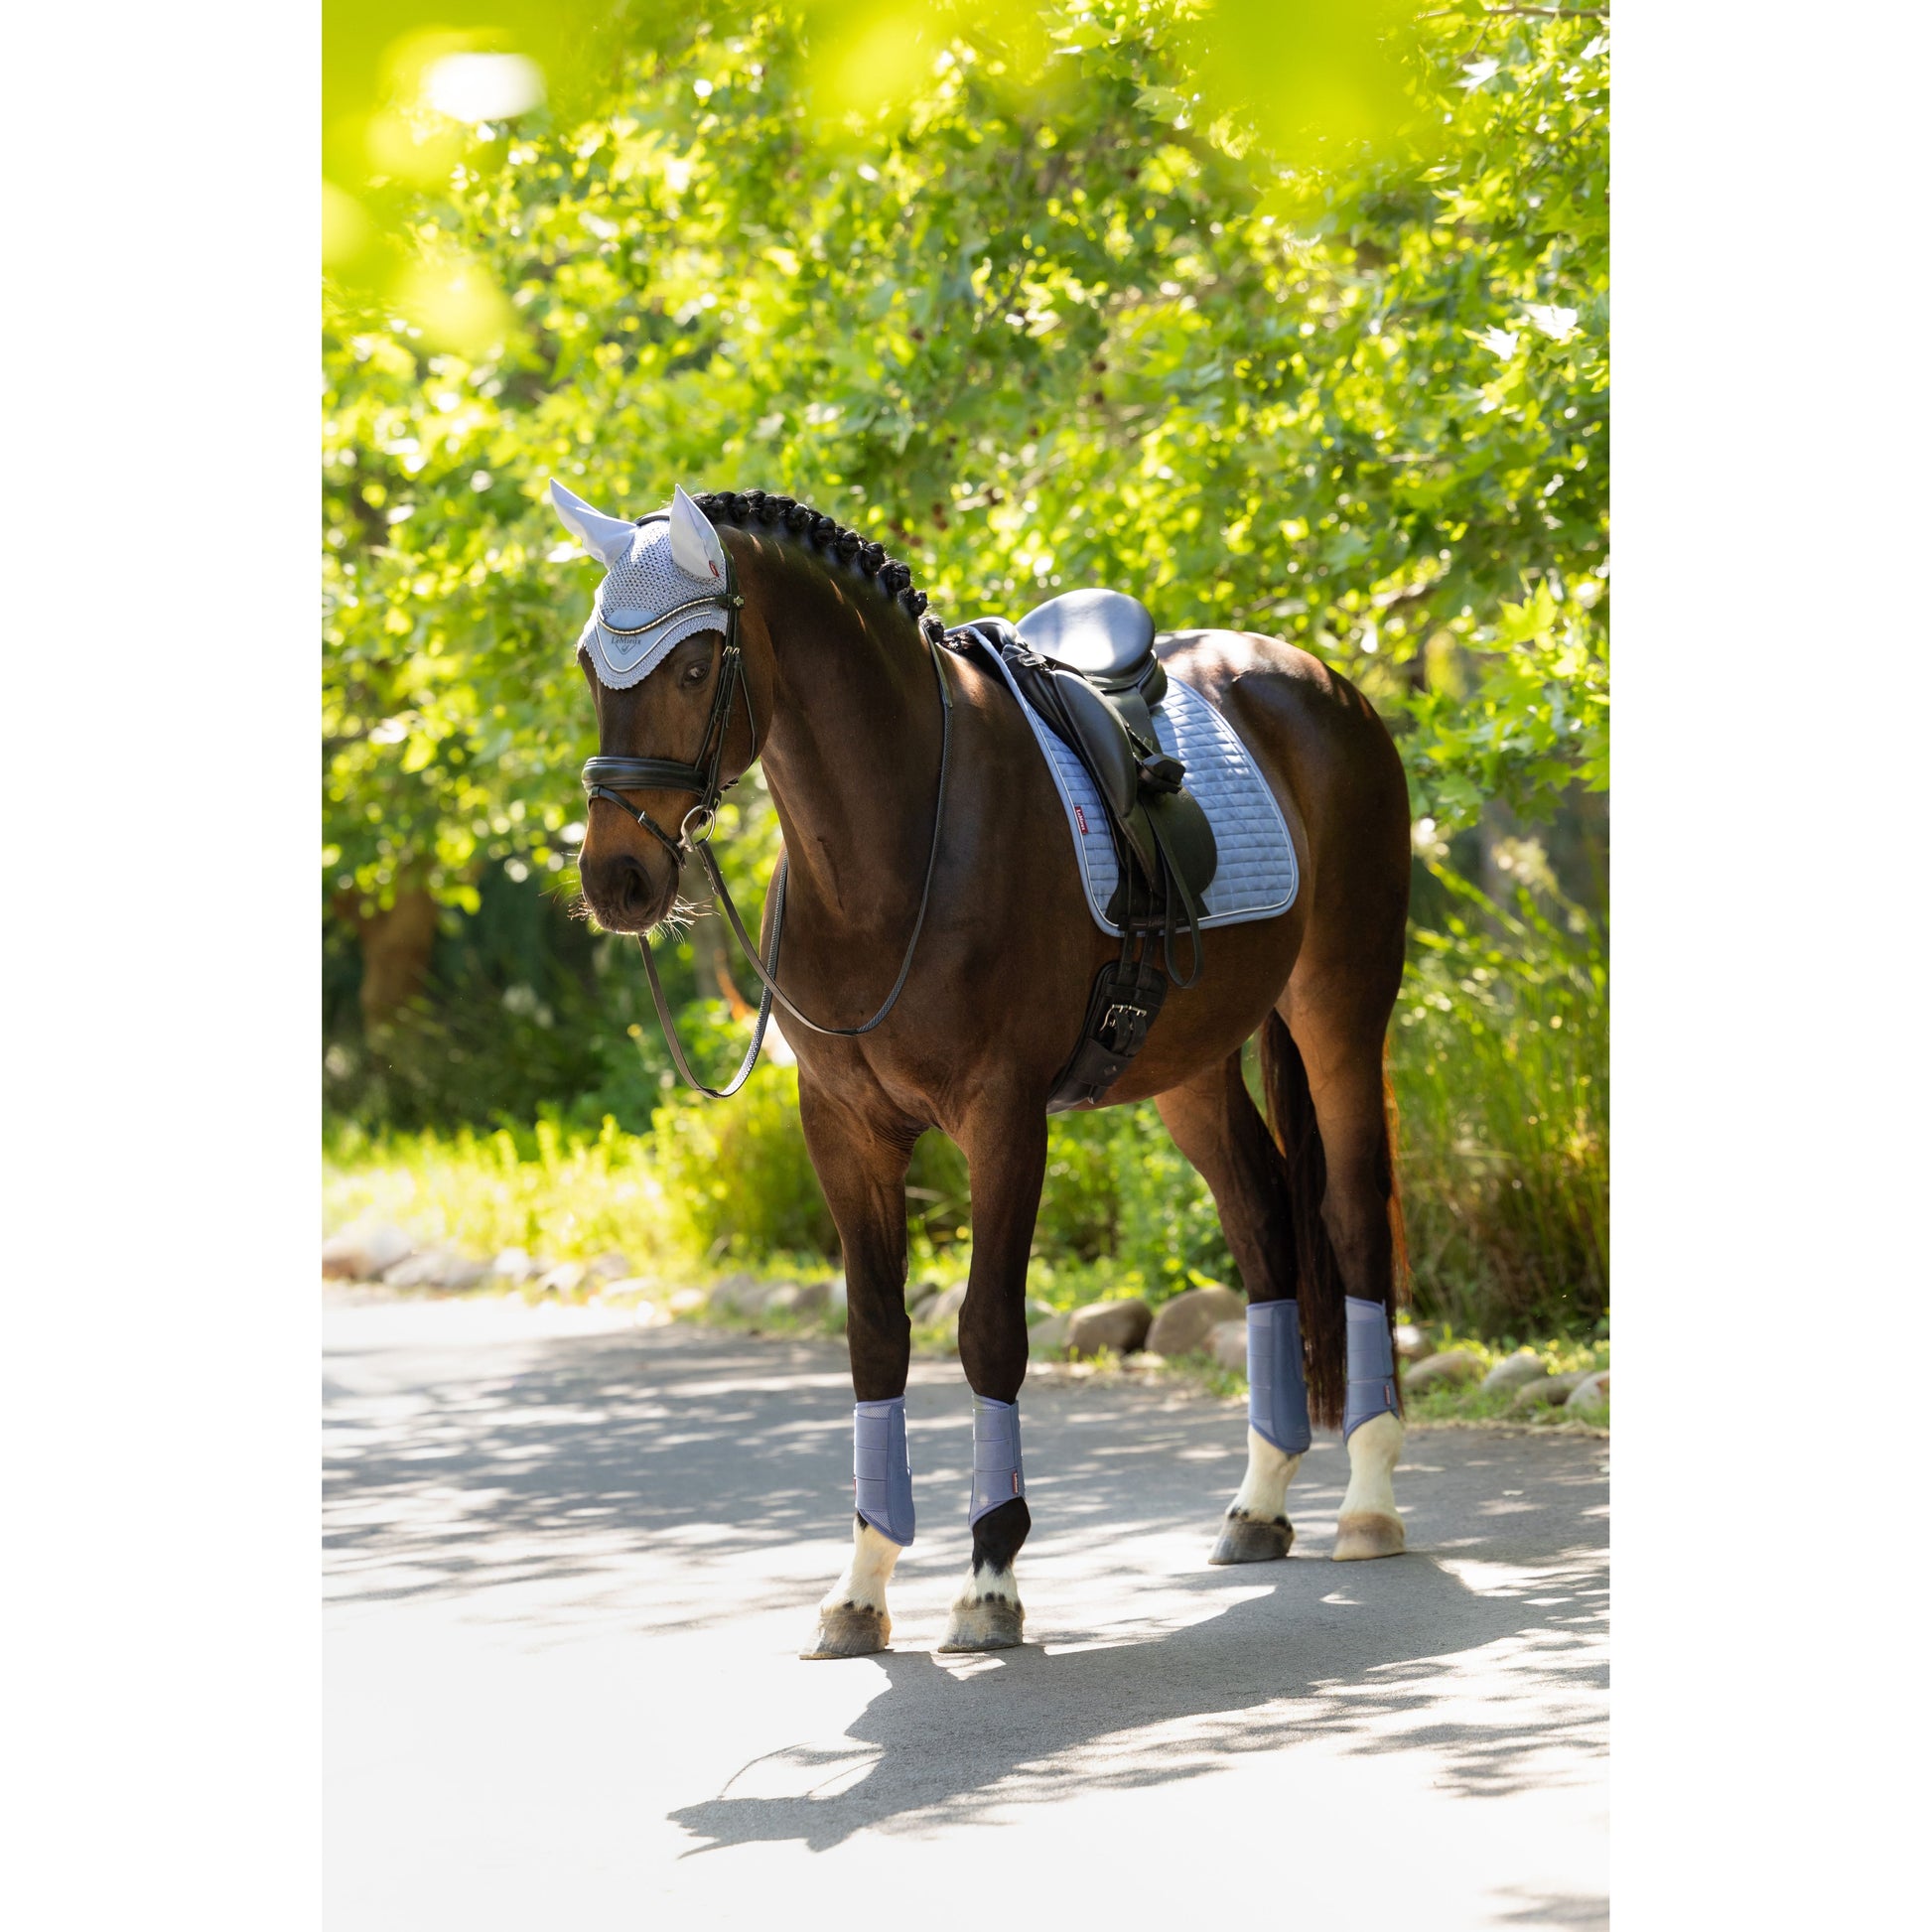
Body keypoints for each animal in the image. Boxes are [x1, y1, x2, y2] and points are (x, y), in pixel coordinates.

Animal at [555, 481, 1412, 1658]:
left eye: (690, 668)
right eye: (593, 665)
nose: (618, 879)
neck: (897, 838)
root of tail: (1320, 683)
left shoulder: (1003, 1118)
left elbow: (987, 1332)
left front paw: (990, 1577)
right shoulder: (843, 1127)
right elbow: (876, 1337)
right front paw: (861, 1585)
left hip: (1339, 1008)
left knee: (1353, 1219)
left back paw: (1369, 1501)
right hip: (1186, 1068)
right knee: (1264, 1230)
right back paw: (1260, 1501)